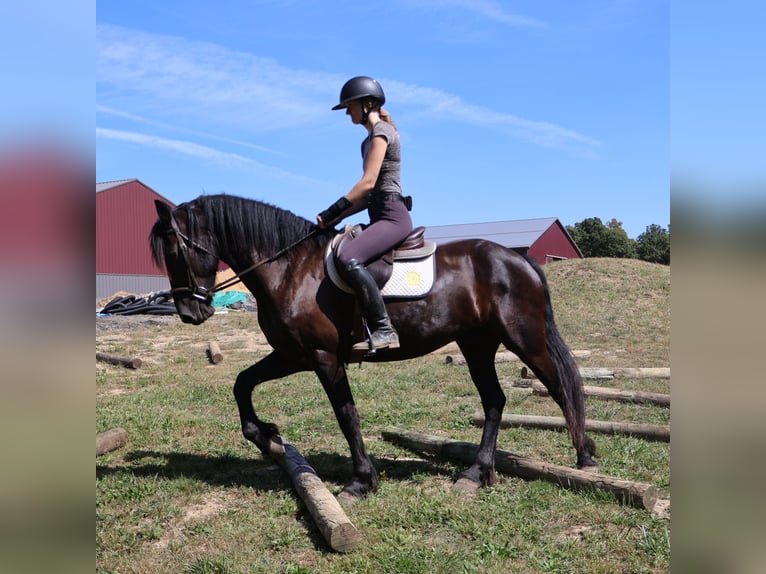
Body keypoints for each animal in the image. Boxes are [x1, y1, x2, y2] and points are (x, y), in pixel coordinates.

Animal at [150, 193, 597, 502]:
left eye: (175, 251)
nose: (188, 312)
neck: (291, 269)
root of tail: (518, 261)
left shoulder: (323, 358)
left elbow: (347, 416)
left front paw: (362, 481)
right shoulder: (293, 355)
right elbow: (242, 383)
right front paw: (266, 436)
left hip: (524, 340)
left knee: (560, 387)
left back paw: (586, 458)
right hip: (476, 344)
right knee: (494, 401)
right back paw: (476, 473)